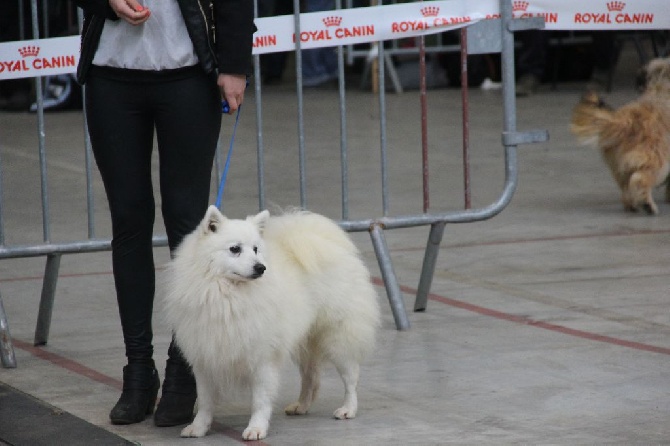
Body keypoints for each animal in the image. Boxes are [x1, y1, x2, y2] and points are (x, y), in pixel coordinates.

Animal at [162, 206, 380, 442]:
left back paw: (348, 408)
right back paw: (301, 405)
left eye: (256, 249)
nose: (260, 267)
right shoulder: (206, 357)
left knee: (351, 377)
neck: (227, 295)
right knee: (311, 377)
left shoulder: (262, 358)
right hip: (305, 341)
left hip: (336, 337)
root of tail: (333, 246)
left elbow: (260, 400)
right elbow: (205, 401)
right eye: (235, 249)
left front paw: (256, 429)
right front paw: (198, 427)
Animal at [572, 57, 670, 214]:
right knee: (640, 179)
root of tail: (626, 121)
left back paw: (632, 205)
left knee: (626, 186)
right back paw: (648, 205)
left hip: (619, 164)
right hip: (657, 159)